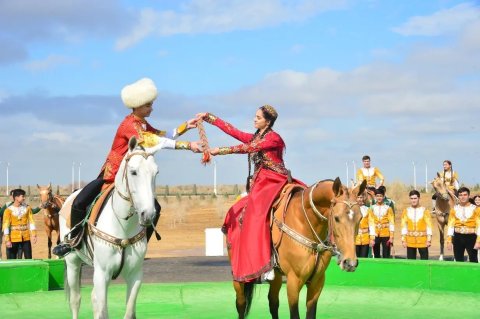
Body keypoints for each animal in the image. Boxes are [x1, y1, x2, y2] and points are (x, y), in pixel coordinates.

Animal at [59, 138, 166, 319]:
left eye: (156, 173)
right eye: (133, 172)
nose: (148, 214)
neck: (123, 226)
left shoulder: (135, 275)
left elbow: (129, 311)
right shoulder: (102, 274)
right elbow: (101, 309)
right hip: (72, 262)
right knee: (75, 300)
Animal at [231, 179, 366, 318]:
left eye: (360, 217)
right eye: (336, 218)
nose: (350, 263)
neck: (305, 224)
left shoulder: (317, 282)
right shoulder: (293, 282)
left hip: (277, 276)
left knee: (273, 301)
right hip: (239, 275)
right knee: (241, 303)